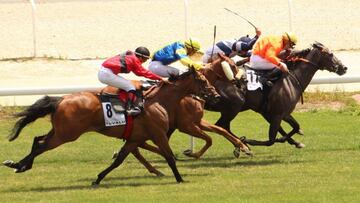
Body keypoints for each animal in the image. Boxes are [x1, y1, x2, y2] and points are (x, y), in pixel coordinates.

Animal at [2, 67, 218, 185]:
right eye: (202, 80)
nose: (214, 95)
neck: (158, 101)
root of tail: (61, 100)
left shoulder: (135, 138)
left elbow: (119, 160)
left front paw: (98, 178)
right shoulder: (158, 134)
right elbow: (170, 157)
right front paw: (180, 178)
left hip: (60, 130)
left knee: (37, 139)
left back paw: (19, 164)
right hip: (67, 134)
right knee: (41, 145)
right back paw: (19, 165)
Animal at [202, 42, 346, 147]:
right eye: (330, 54)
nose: (344, 68)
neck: (291, 78)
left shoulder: (279, 113)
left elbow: (295, 127)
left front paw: (296, 142)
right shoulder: (277, 114)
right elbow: (271, 139)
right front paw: (249, 141)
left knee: (224, 126)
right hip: (235, 106)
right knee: (221, 125)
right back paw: (242, 144)